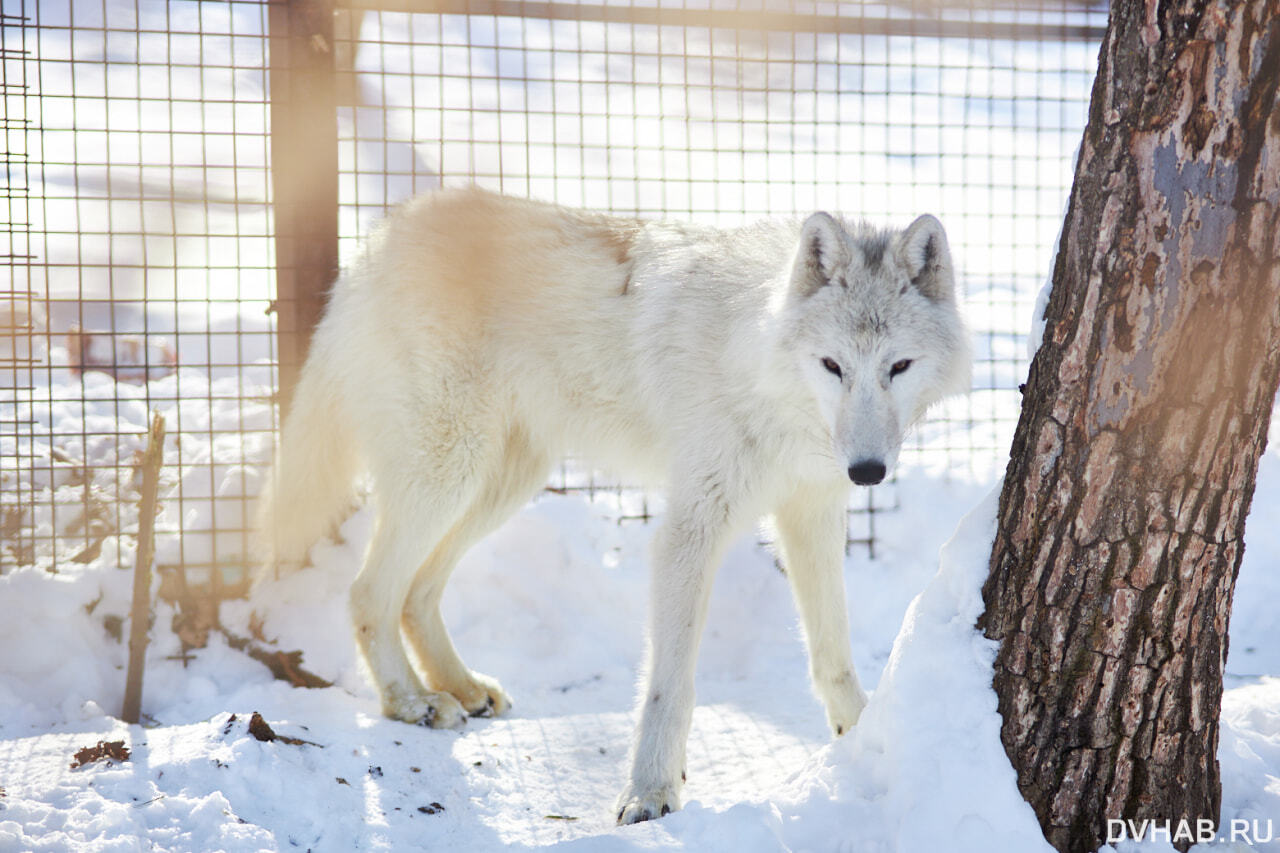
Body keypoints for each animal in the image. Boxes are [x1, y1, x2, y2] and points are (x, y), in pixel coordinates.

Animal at [254, 188, 962, 824]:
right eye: (832, 365)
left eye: (898, 366)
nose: (868, 472)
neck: (758, 367)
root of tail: (378, 240)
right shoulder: (688, 528)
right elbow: (669, 686)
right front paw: (650, 794)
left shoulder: (812, 514)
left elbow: (833, 653)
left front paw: (866, 740)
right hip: (449, 473)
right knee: (368, 593)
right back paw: (410, 703)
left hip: (499, 485)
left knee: (417, 592)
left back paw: (462, 687)